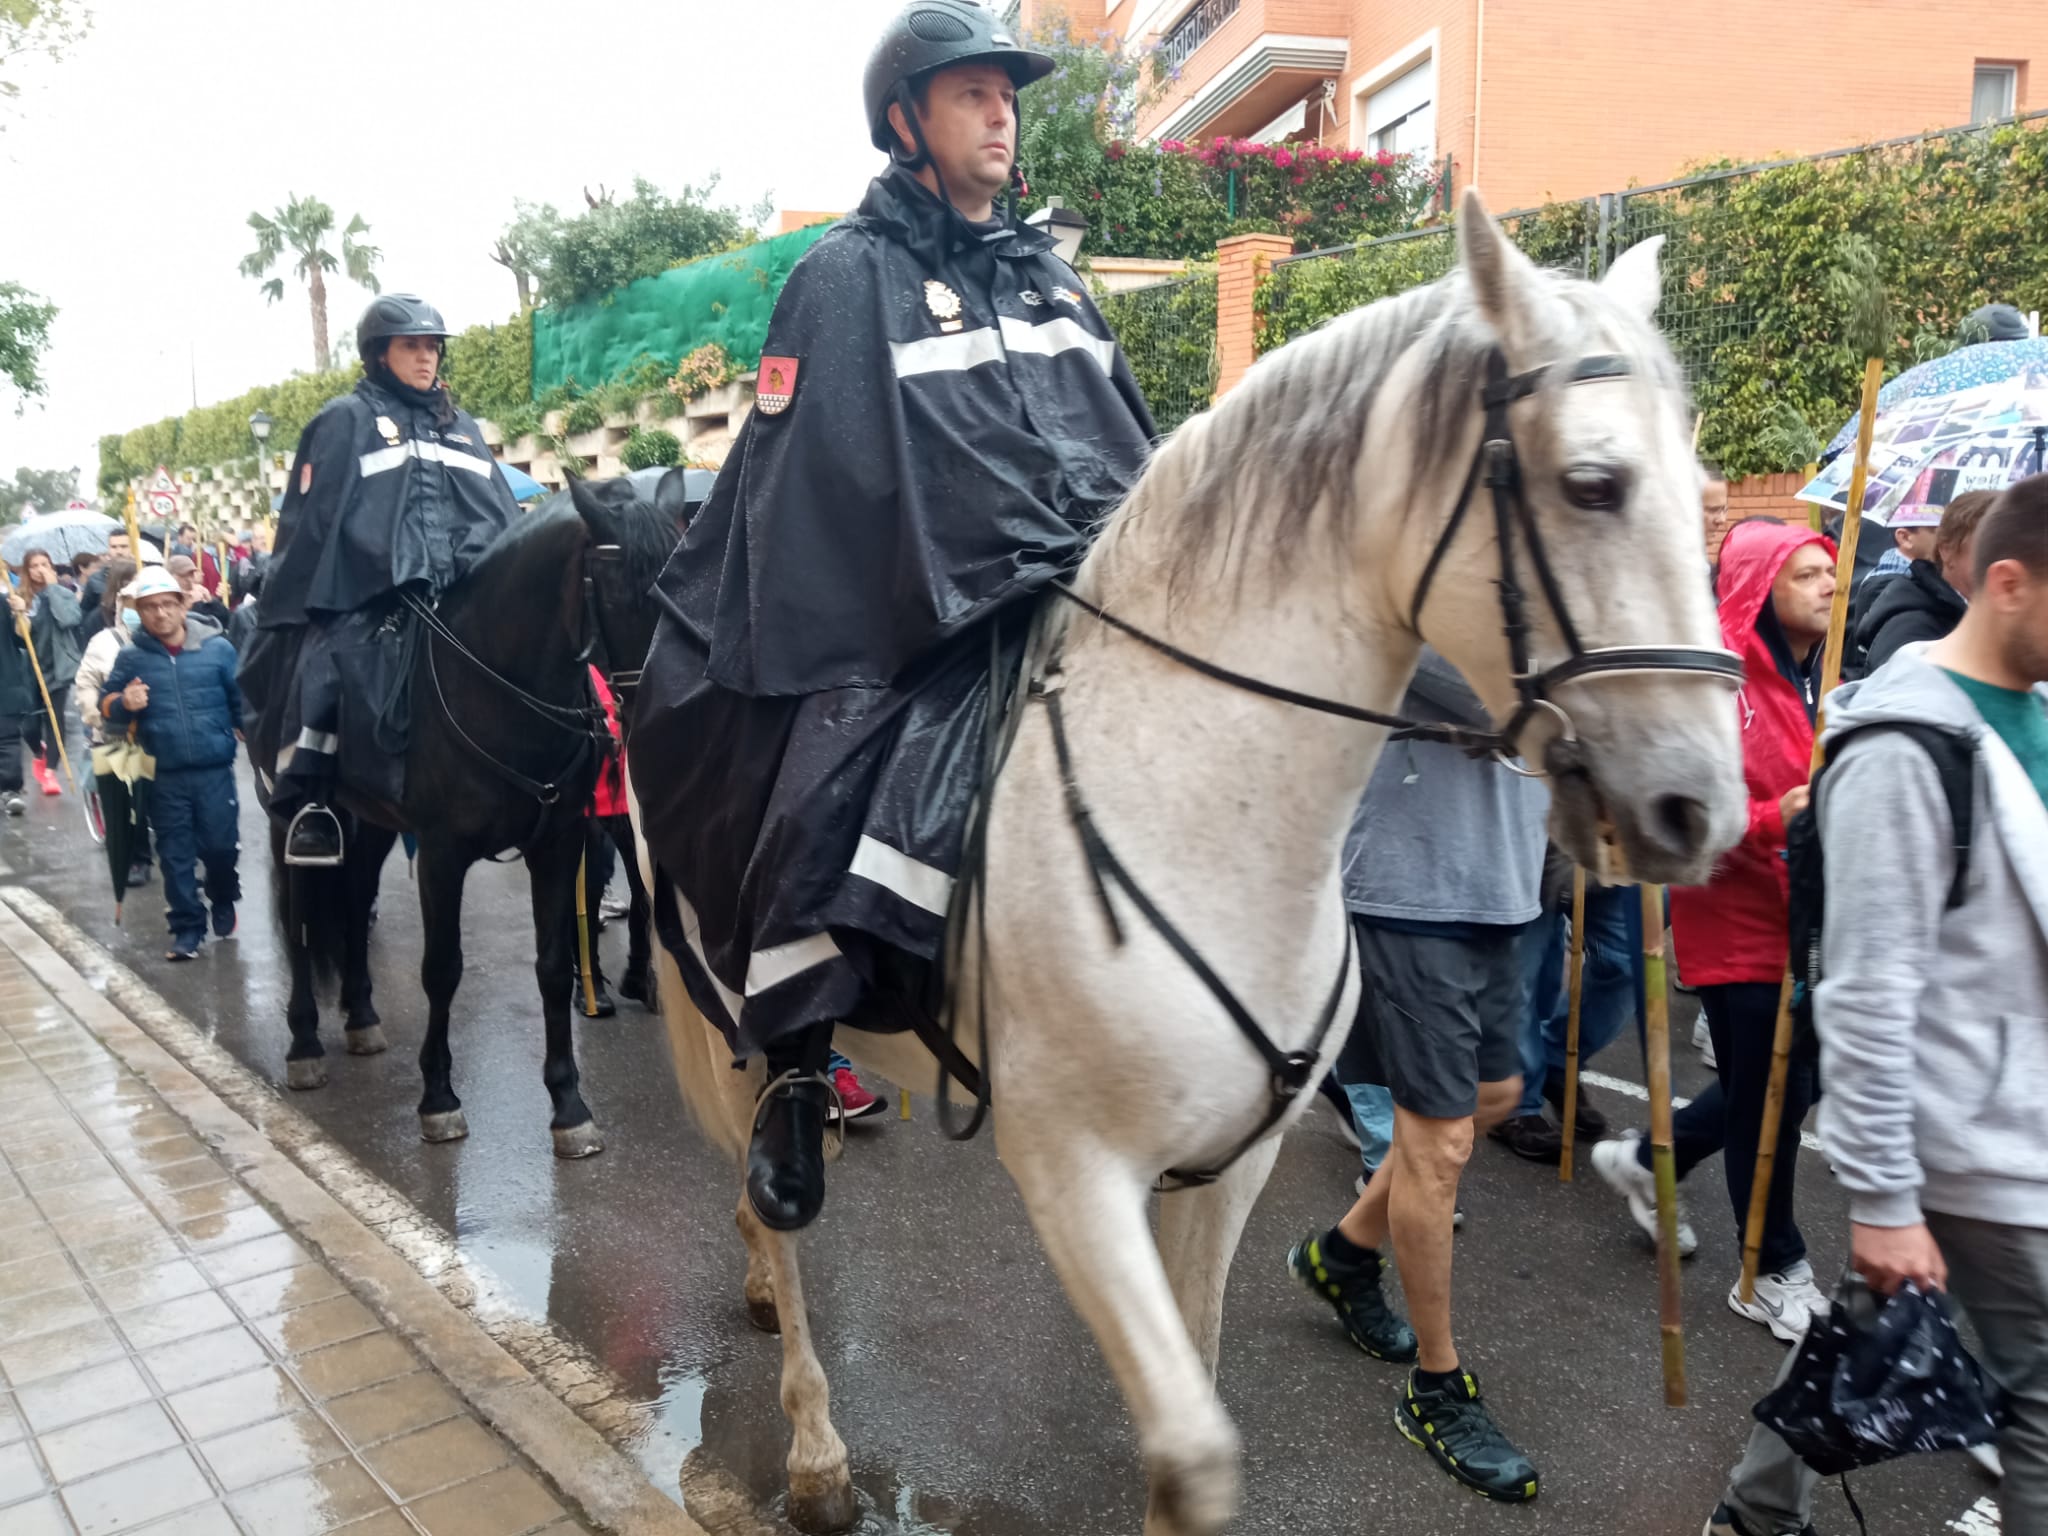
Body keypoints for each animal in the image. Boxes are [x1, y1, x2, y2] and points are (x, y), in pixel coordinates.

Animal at [638, 192, 1744, 1536]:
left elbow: (1200, 1410)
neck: (1203, 809)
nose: (1698, 809)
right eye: (1592, 484)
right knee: (777, 1188)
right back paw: (811, 1446)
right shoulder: (1072, 1174)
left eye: (1700, 490)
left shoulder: (1224, 1169)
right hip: (729, 1004)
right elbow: (1192, 1449)